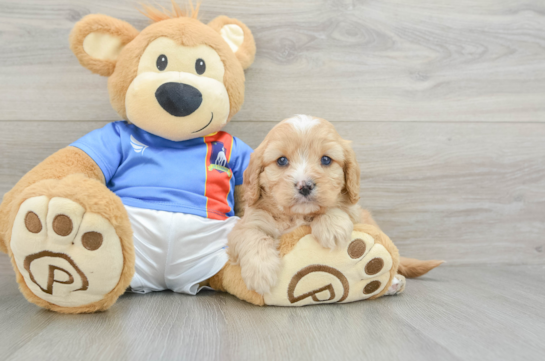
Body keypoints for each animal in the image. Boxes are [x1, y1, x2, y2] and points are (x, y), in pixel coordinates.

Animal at [227, 114, 376, 294]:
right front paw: (261, 272)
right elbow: (252, 235)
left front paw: (332, 227)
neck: (298, 215)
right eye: (282, 160)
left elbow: (336, 207)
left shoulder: (357, 215)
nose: (304, 186)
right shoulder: (249, 222)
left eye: (326, 159)